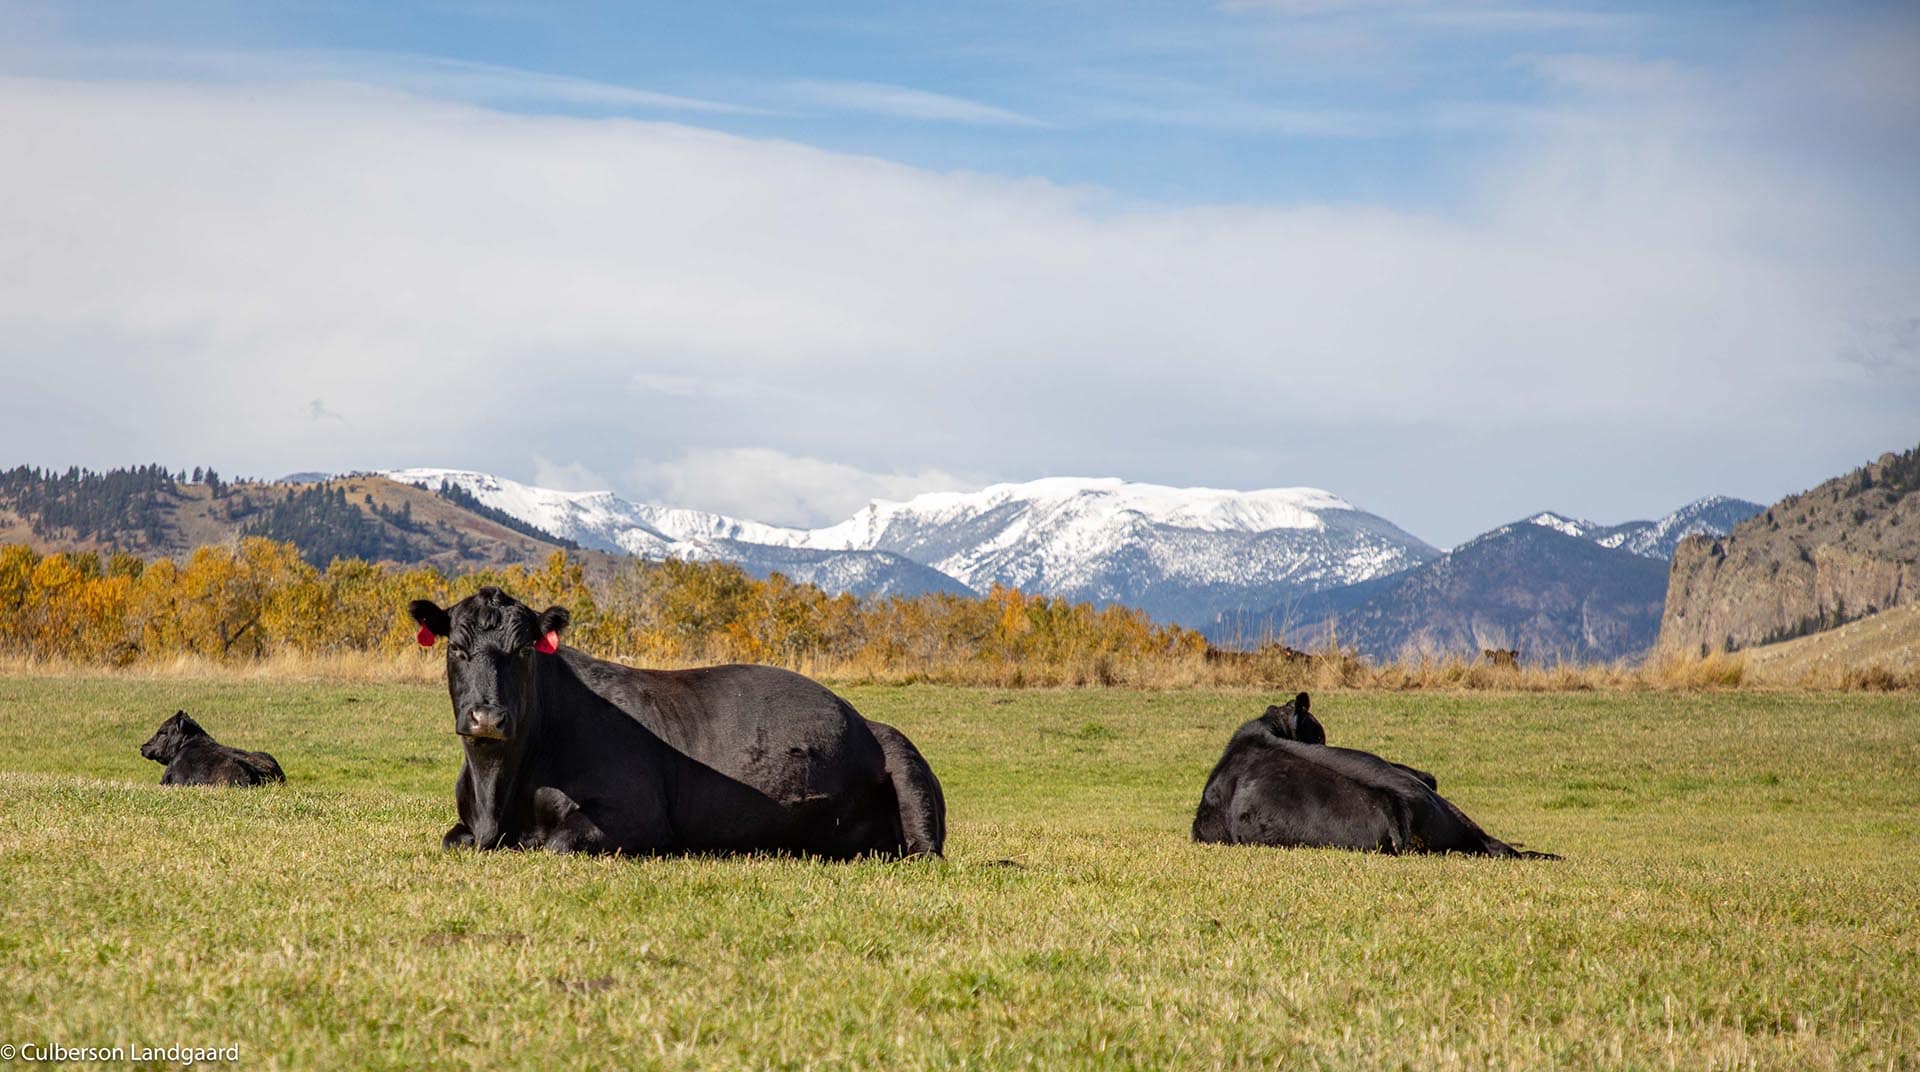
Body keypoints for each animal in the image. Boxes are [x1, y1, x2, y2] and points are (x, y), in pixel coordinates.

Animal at [408, 586, 945, 858]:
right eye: (457, 649)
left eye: (522, 651)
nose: (487, 715)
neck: (496, 794)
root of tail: (860, 717)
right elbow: (451, 840)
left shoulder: (635, 814)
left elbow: (557, 843)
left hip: (906, 766)